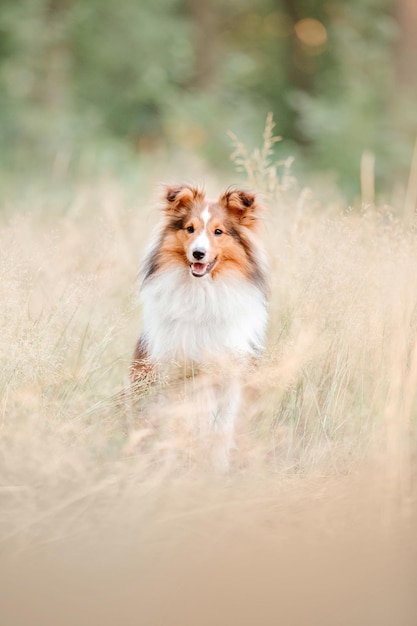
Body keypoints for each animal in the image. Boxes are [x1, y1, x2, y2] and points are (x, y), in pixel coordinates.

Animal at [129, 184, 266, 468]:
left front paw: (218, 468)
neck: (201, 292)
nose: (198, 254)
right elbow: (174, 424)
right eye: (189, 229)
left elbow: (222, 429)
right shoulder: (172, 373)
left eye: (218, 231)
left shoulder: (229, 374)